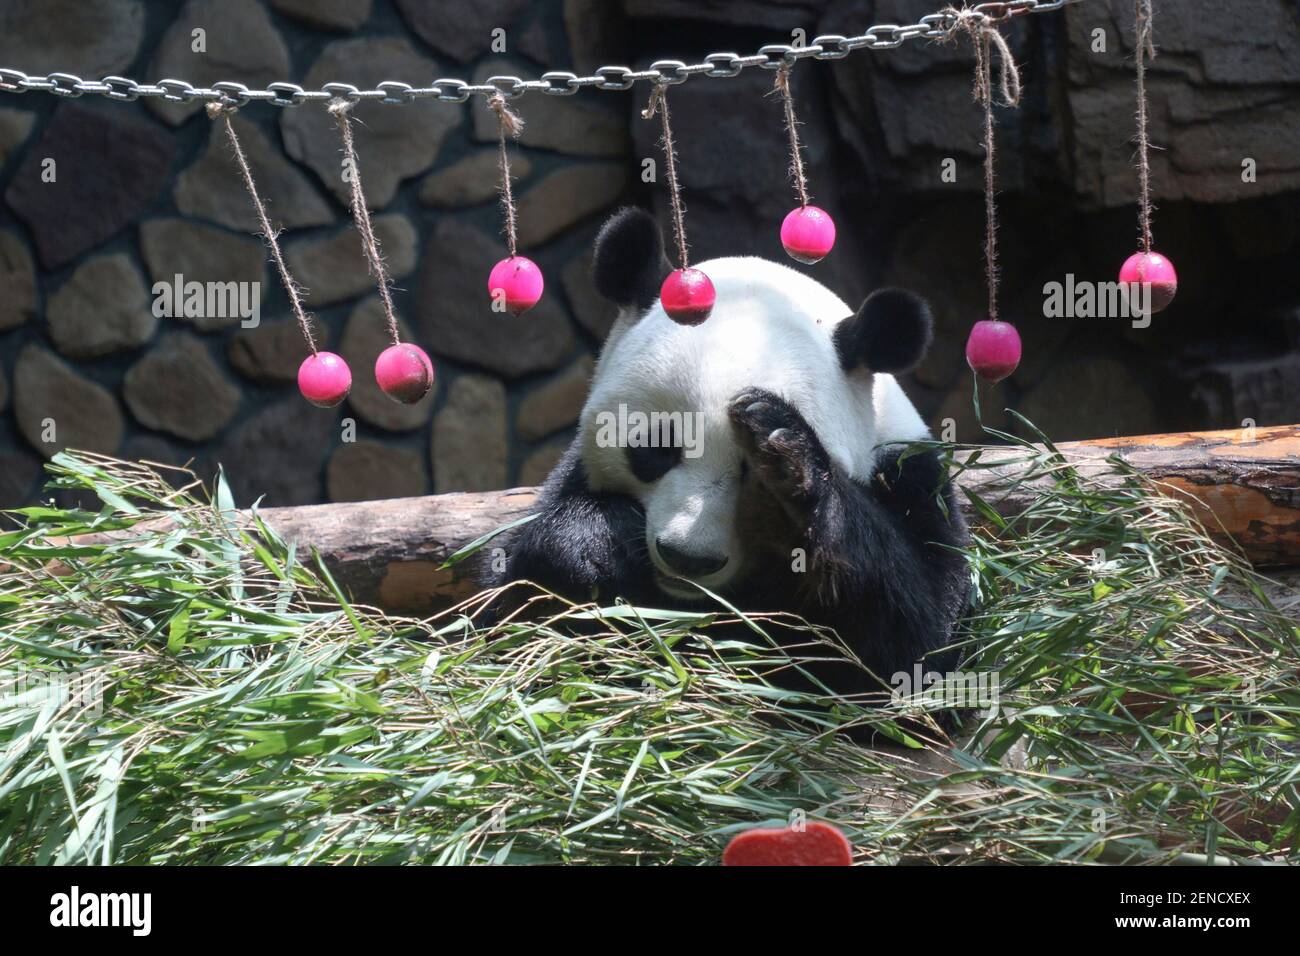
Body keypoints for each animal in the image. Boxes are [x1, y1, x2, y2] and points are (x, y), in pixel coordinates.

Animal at [496, 208, 970, 697]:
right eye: (655, 448)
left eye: (752, 473)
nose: (688, 558)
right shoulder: (569, 476)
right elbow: (508, 619)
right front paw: (592, 545)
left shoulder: (910, 474)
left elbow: (913, 646)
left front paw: (788, 455)